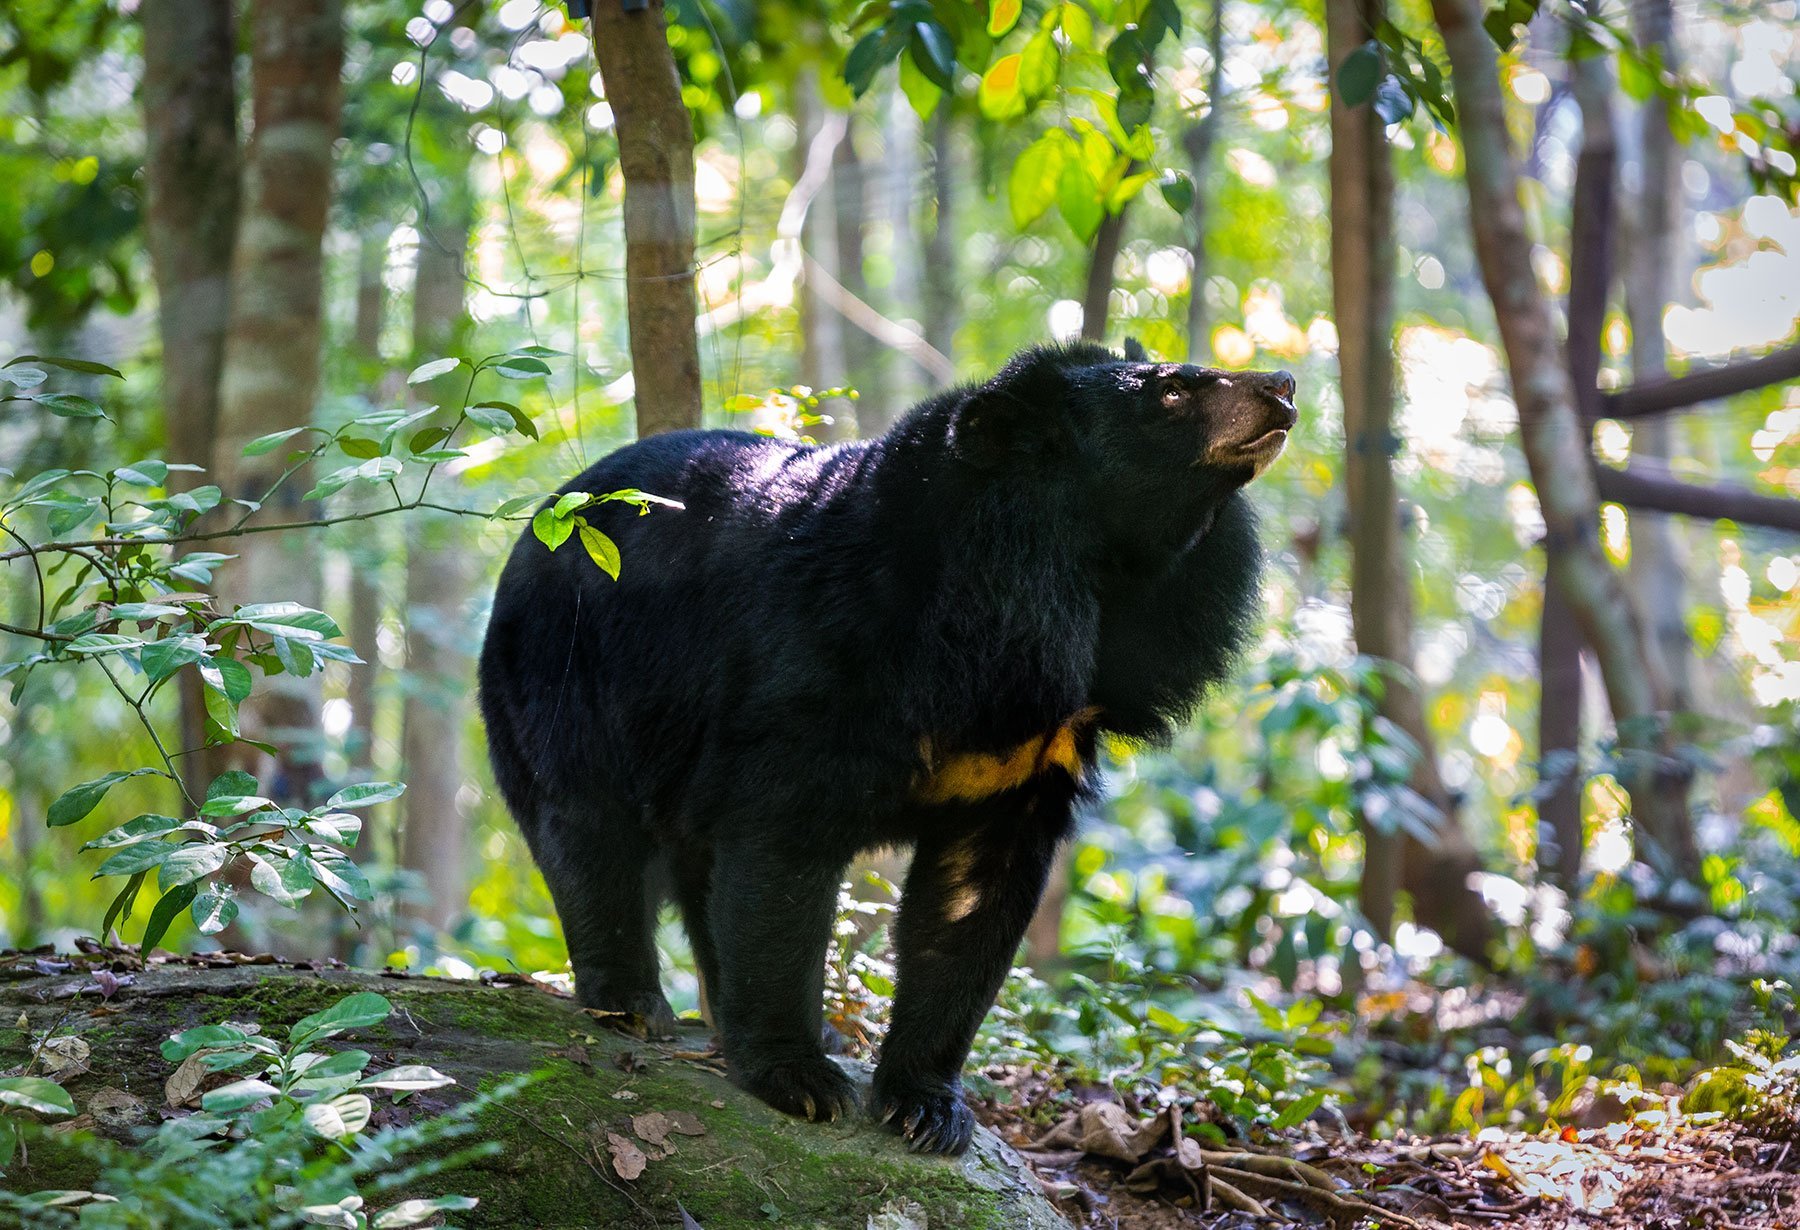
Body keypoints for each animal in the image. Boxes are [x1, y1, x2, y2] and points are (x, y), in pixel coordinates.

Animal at [478, 342, 1296, 1159]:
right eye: (1173, 391)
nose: (1283, 386)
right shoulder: (815, 664)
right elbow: (780, 859)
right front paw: (801, 1080)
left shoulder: (1033, 743)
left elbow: (970, 905)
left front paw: (926, 1107)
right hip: (568, 672)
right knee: (587, 827)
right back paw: (630, 1002)